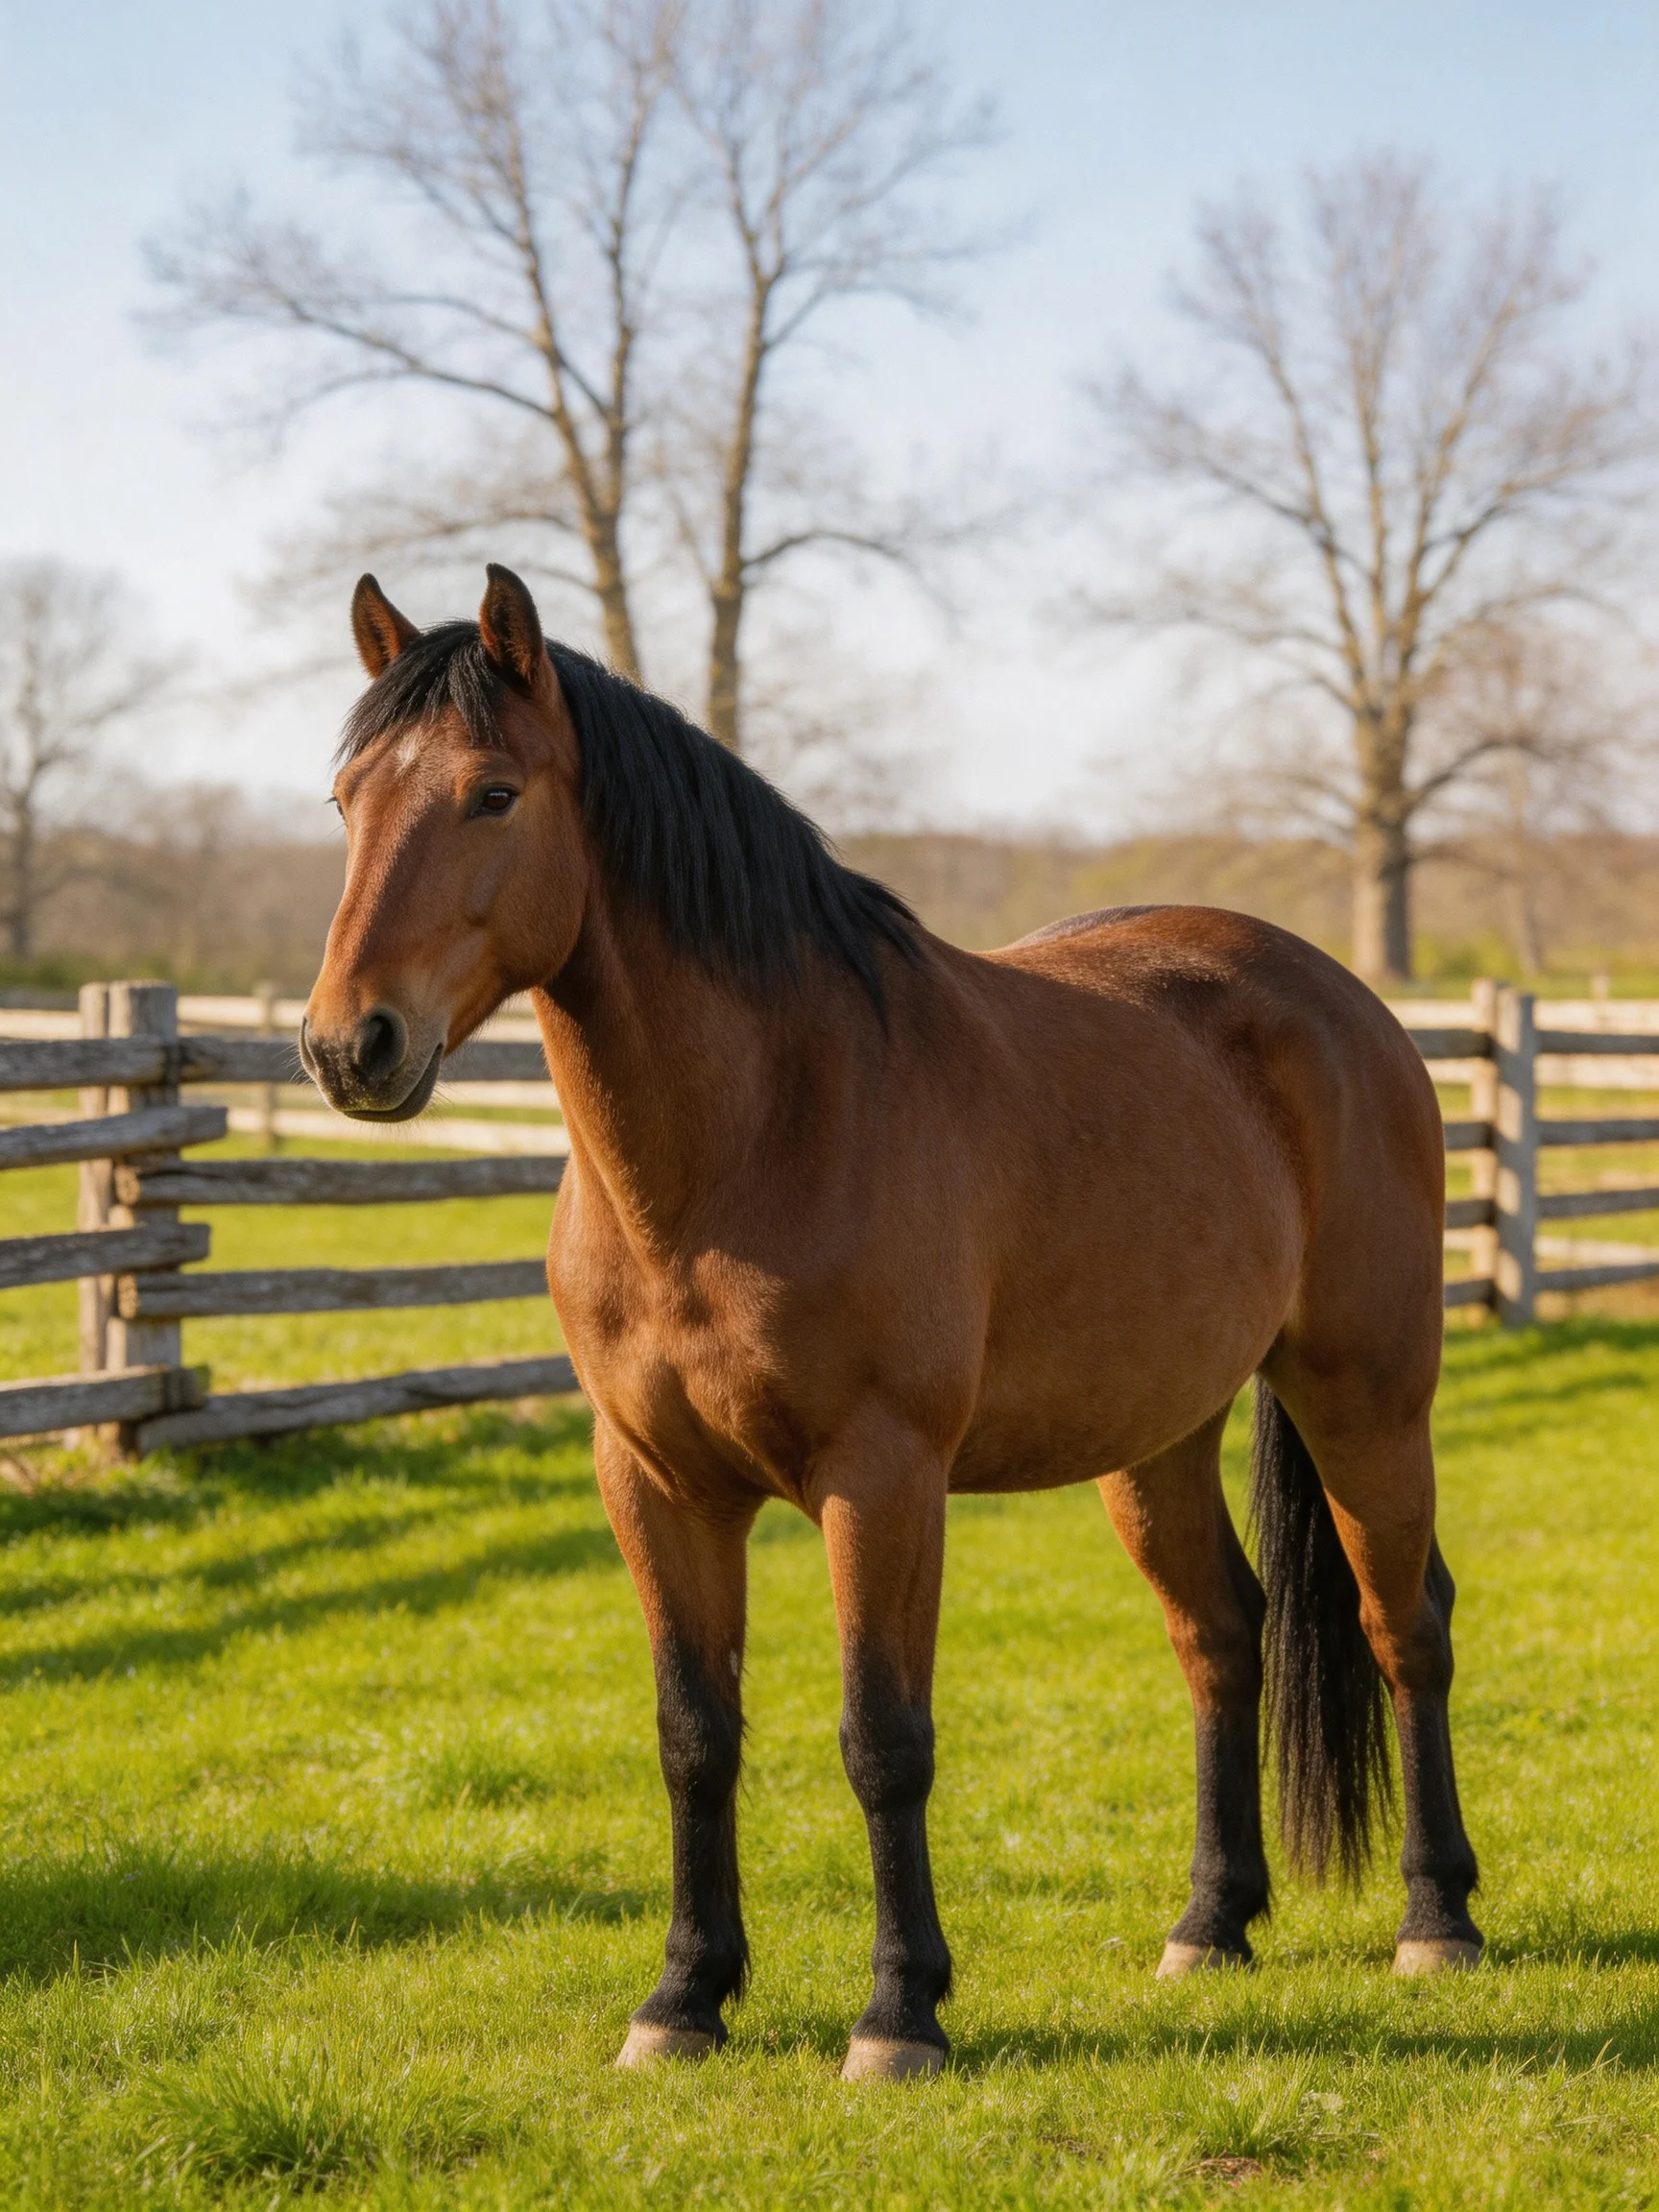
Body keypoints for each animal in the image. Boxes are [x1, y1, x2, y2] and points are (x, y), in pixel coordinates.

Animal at [301, 564, 1483, 2082]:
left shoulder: (883, 1478)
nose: (350, 1046)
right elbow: (695, 1735)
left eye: (492, 793)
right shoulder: (654, 1481)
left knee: (1408, 1624)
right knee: (1222, 1632)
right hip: (1155, 1436)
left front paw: (899, 2013)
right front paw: (683, 1998)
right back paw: (1210, 1925)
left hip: (1366, 1394)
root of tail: (1348, 1005)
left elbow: (884, 1739)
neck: (755, 1137)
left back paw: (1436, 1920)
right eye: (347, 800)